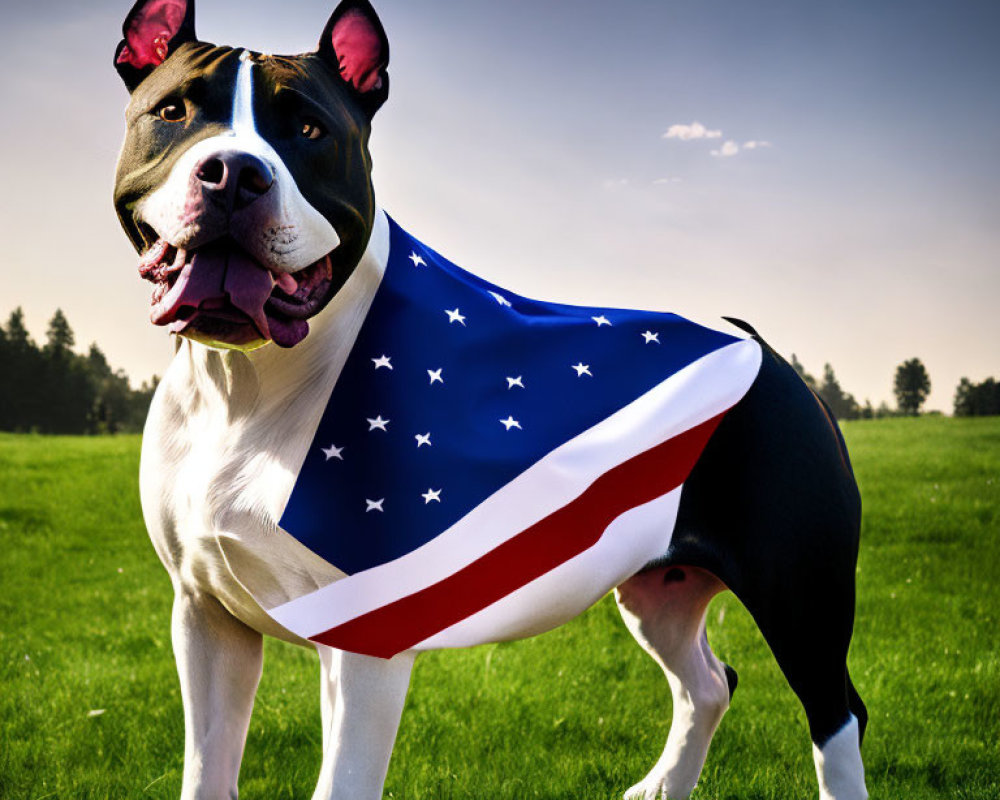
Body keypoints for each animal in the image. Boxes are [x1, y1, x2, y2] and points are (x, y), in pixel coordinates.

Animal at [111, 3, 868, 796]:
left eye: (310, 130)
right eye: (173, 111)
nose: (233, 172)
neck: (247, 387)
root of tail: (757, 344)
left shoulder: (362, 636)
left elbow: (342, 779)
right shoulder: (206, 616)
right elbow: (207, 769)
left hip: (801, 595)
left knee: (835, 714)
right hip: (659, 583)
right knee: (709, 681)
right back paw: (662, 784)